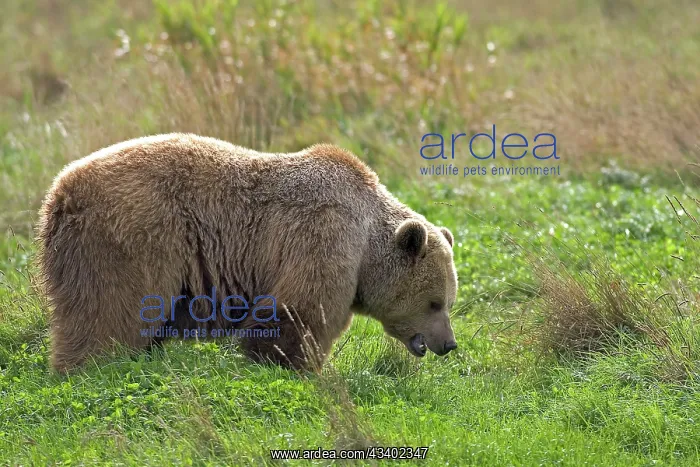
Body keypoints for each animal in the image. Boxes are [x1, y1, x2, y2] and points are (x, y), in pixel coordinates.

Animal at [36, 133, 458, 373]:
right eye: (435, 303)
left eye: (448, 301)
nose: (449, 344)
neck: (366, 240)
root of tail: (59, 192)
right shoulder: (323, 233)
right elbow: (299, 310)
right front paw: (288, 365)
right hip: (132, 238)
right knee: (108, 312)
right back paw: (92, 367)